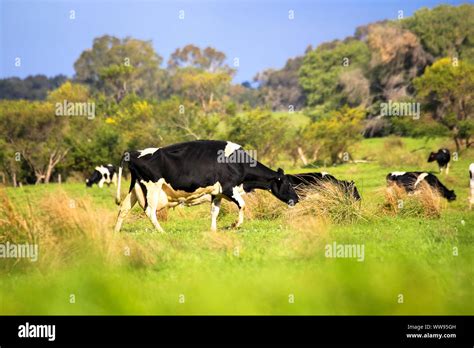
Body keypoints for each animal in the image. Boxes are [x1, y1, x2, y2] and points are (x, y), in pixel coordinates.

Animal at [113, 140, 298, 232]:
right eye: (288, 184)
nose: (297, 199)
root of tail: (134, 152)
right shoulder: (229, 188)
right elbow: (243, 205)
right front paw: (234, 225)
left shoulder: (217, 193)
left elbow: (214, 212)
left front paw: (213, 230)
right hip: (152, 187)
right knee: (150, 211)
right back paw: (161, 232)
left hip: (135, 189)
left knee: (123, 208)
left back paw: (116, 232)